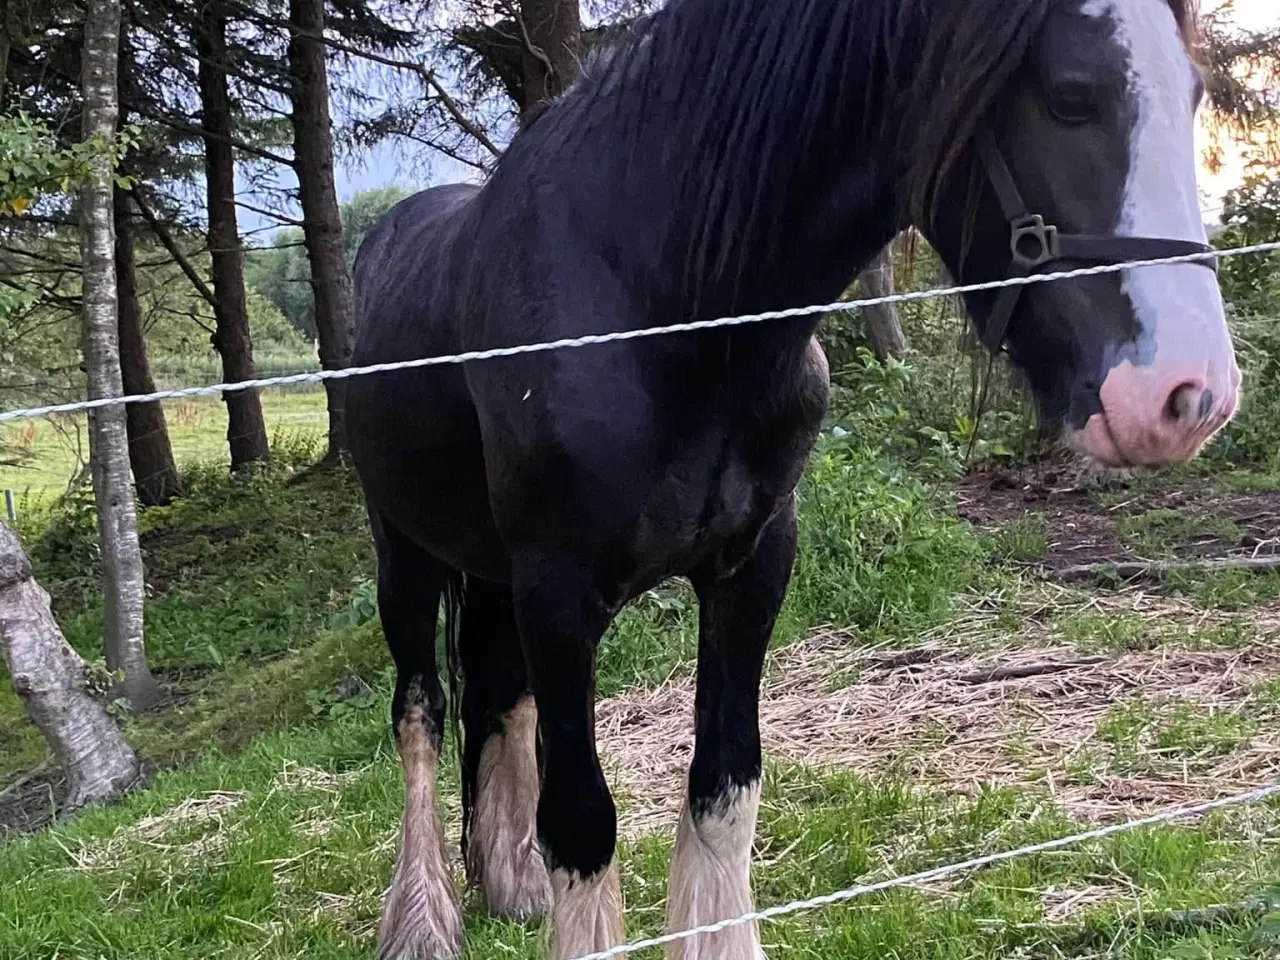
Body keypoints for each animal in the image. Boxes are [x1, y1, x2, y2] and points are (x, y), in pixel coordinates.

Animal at [343, 0, 1239, 957]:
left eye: (1196, 94)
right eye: (1071, 96)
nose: (1193, 395)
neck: (659, 307)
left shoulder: (753, 565)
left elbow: (723, 787)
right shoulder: (559, 595)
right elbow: (582, 823)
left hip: (488, 568)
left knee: (495, 695)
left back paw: (508, 885)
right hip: (404, 556)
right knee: (419, 715)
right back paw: (423, 923)